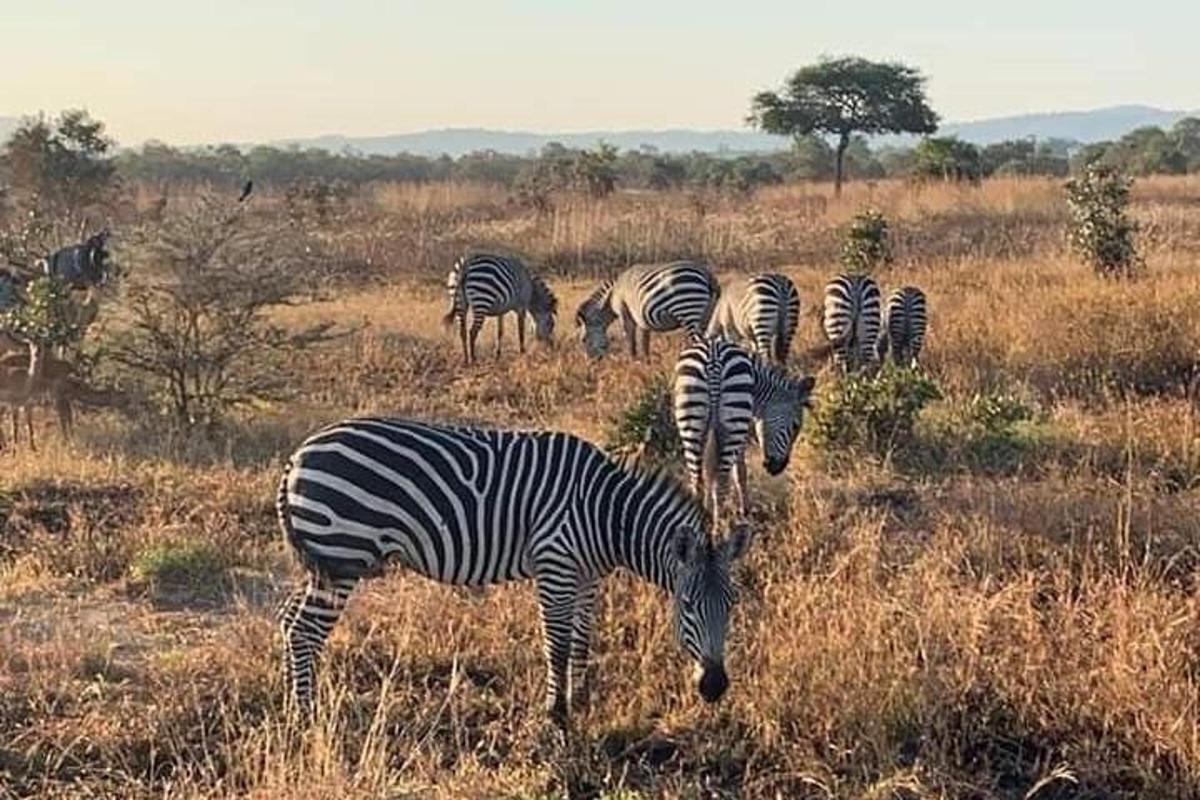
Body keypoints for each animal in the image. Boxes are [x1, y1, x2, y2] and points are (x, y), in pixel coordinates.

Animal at [279, 419, 748, 724]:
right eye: (687, 605)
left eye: (732, 604)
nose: (715, 688)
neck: (605, 514)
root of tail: (297, 455)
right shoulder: (555, 565)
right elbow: (557, 644)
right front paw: (557, 714)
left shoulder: (588, 576)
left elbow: (582, 639)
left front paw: (580, 700)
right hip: (341, 555)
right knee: (305, 630)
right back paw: (306, 714)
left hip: (322, 560)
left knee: (287, 619)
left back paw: (288, 695)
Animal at [573, 261, 715, 357]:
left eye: (583, 340)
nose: (591, 362)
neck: (613, 294)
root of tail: (706, 273)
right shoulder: (642, 318)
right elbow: (644, 341)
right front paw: (646, 364)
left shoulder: (624, 312)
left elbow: (630, 339)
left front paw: (632, 360)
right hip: (707, 316)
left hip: (689, 311)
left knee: (698, 341)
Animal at [676, 335, 816, 527]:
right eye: (795, 425)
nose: (777, 468)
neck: (756, 383)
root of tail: (713, 361)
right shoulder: (743, 429)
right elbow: (740, 472)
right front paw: (745, 511)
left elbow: (710, 474)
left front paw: (708, 510)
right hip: (734, 422)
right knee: (721, 481)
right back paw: (719, 526)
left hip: (690, 420)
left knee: (697, 481)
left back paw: (701, 523)